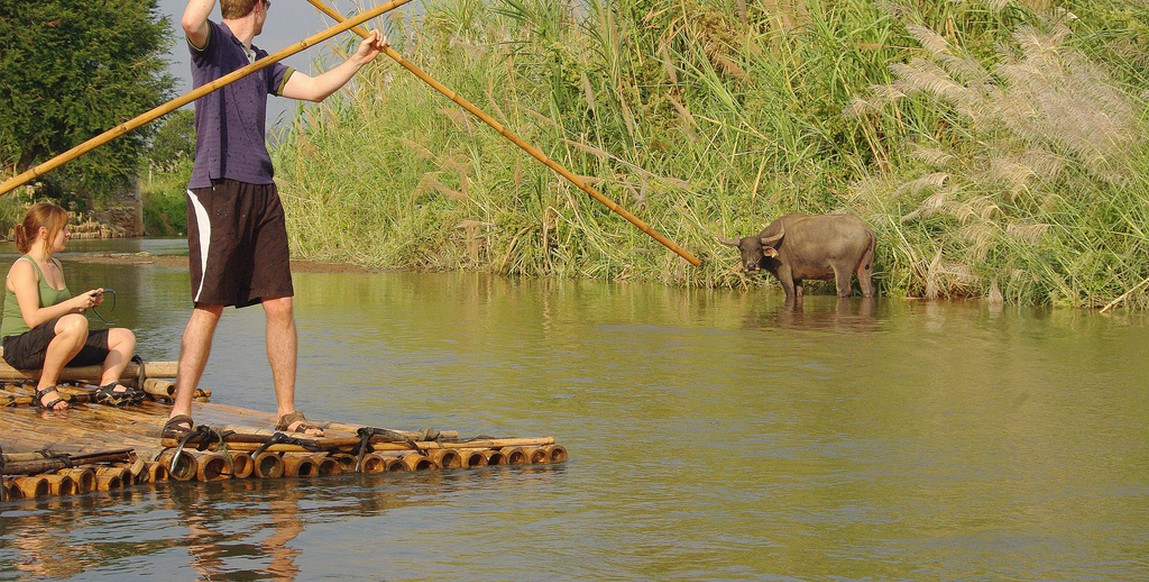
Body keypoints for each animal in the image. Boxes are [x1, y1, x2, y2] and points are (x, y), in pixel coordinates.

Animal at [721, 212, 873, 298]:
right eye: (742, 249)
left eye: (758, 248)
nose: (751, 266)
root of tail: (865, 229)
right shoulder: (798, 277)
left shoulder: (784, 272)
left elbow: (790, 293)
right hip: (865, 267)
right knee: (869, 290)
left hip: (843, 268)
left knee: (844, 290)